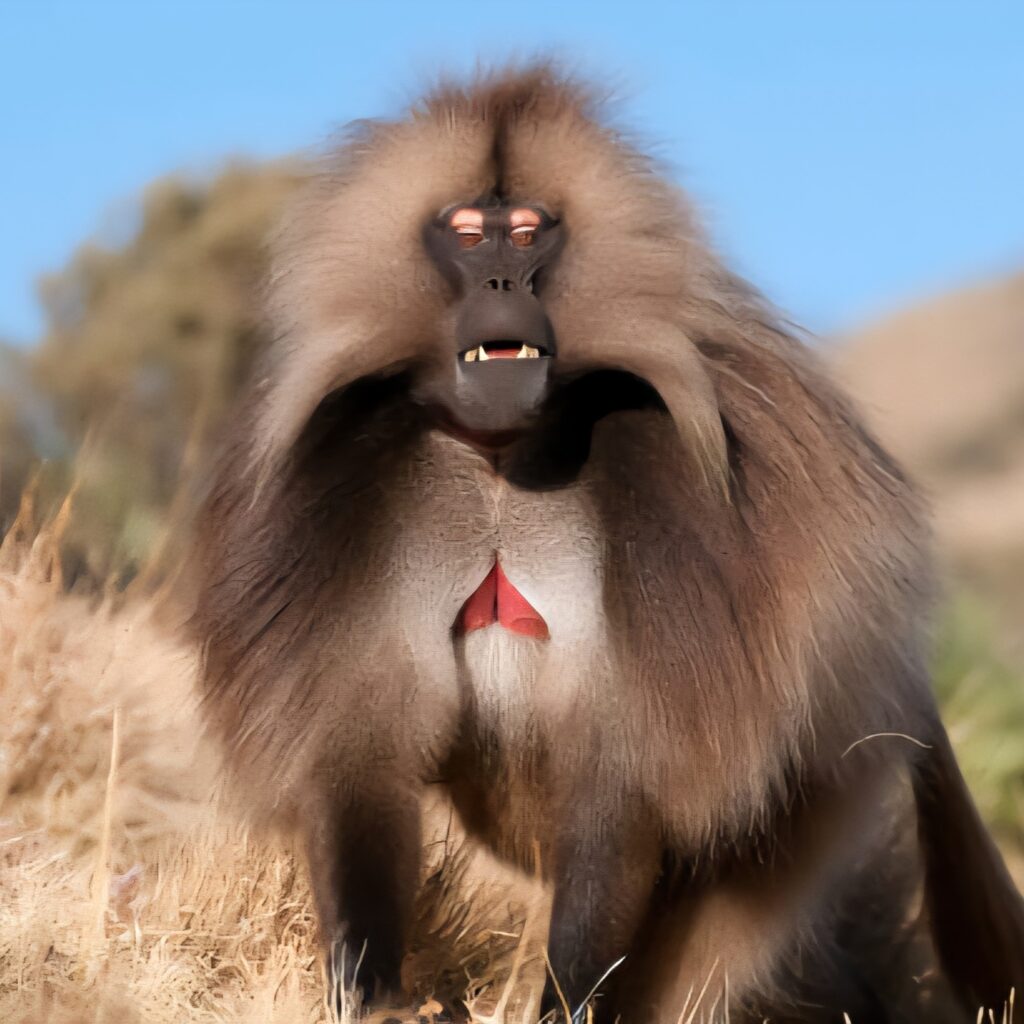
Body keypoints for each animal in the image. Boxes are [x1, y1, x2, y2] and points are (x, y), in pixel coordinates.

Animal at [184, 66, 1024, 1023]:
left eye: (530, 231)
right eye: (467, 234)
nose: (503, 279)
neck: (501, 458)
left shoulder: (673, 529)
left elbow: (620, 788)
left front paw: (564, 1006)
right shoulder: (349, 500)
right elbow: (360, 764)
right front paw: (372, 992)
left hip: (823, 769)